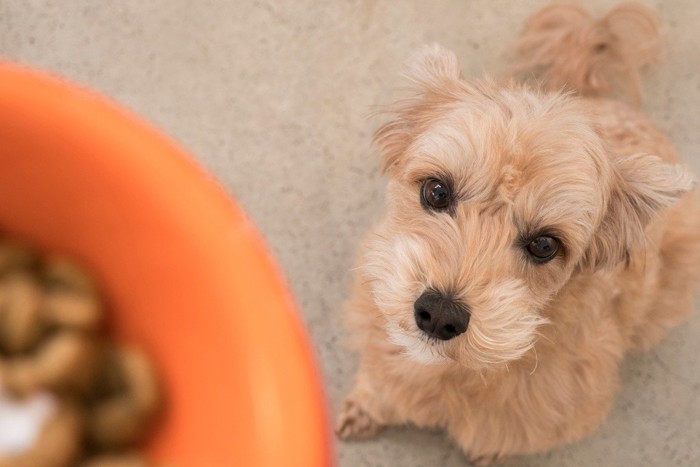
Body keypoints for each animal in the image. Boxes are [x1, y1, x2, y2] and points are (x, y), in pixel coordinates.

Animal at [336, 3, 700, 464]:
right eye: (436, 191)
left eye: (545, 245)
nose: (439, 314)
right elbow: (381, 384)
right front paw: (367, 406)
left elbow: (503, 436)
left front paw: (490, 454)